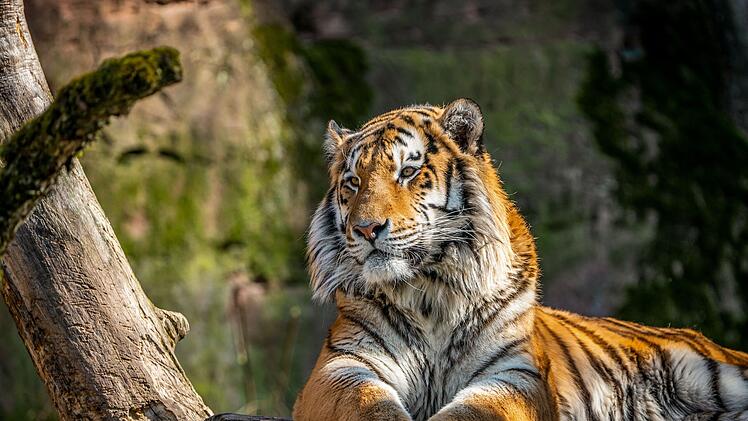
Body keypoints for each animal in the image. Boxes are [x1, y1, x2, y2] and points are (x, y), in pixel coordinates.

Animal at [293, 98, 748, 421]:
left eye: (408, 172)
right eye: (353, 182)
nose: (366, 229)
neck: (430, 289)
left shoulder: (514, 374)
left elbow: (474, 413)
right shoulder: (344, 364)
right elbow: (367, 404)